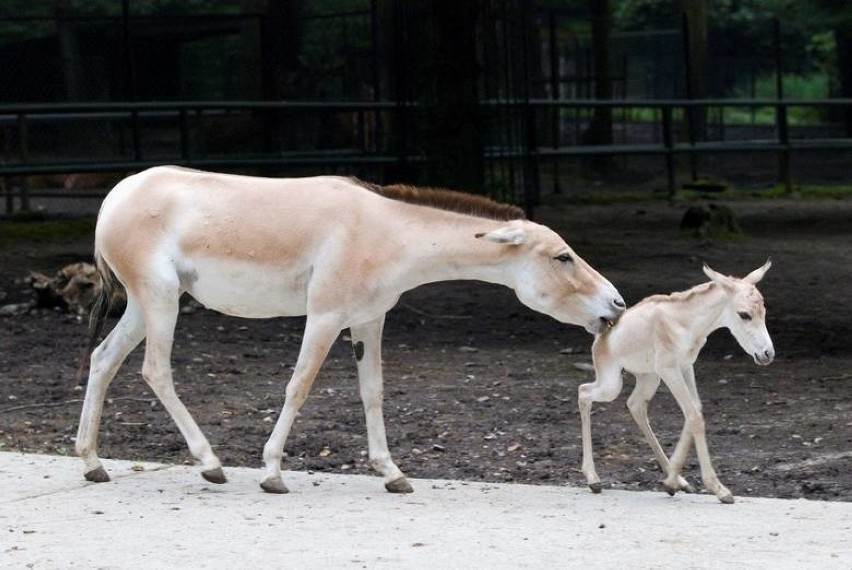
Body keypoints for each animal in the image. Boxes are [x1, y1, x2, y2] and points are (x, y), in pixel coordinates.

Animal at [78, 164, 624, 492]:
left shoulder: (369, 319)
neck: (389, 231)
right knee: (155, 371)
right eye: (562, 257)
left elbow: (373, 392)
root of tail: (115, 195)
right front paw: (272, 470)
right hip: (160, 298)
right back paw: (209, 463)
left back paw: (92, 462)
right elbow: (299, 386)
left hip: (145, 303)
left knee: (103, 359)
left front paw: (392, 473)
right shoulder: (324, 316)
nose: (617, 304)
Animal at [580, 260, 772, 502]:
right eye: (744, 314)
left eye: (763, 310)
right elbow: (694, 416)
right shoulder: (670, 370)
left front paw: (671, 482)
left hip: (649, 377)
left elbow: (695, 411)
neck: (683, 321)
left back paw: (679, 481)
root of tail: (600, 338)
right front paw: (719, 489)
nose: (767, 354)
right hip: (612, 385)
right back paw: (593, 479)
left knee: (635, 405)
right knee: (584, 392)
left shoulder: (686, 366)